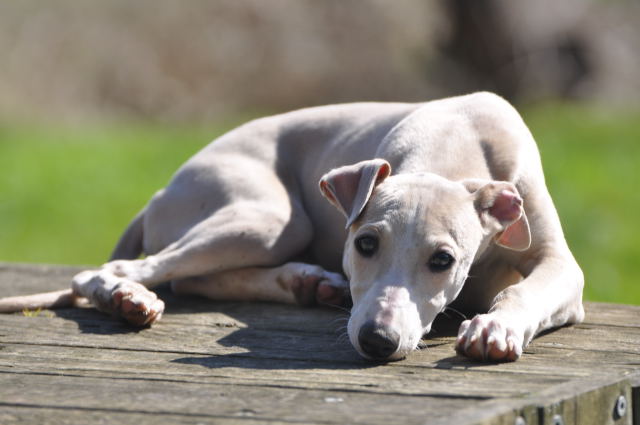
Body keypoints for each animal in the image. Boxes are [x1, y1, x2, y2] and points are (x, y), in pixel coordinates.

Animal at [0, 91, 584, 360]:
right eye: (364, 243)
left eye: (443, 260)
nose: (377, 340)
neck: (459, 141)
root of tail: (159, 193)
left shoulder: (561, 265)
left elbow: (526, 287)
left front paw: (495, 327)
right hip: (272, 219)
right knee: (127, 270)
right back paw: (127, 298)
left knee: (192, 278)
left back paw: (306, 282)